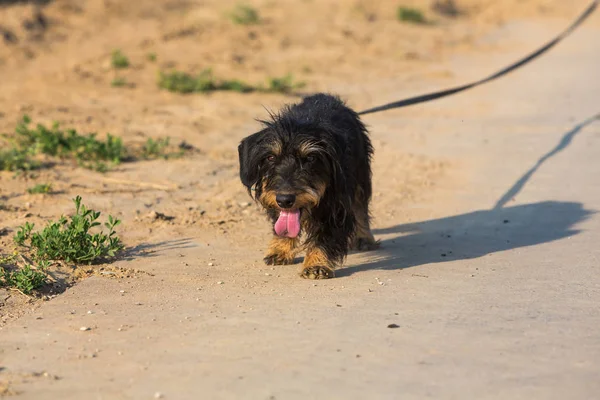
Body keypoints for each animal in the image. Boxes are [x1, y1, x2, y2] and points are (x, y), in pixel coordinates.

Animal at [237, 94, 378, 280]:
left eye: (310, 158)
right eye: (270, 157)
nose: (285, 199)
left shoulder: (337, 209)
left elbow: (324, 236)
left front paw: (316, 264)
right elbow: (281, 222)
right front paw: (280, 249)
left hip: (361, 175)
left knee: (361, 207)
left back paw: (364, 238)